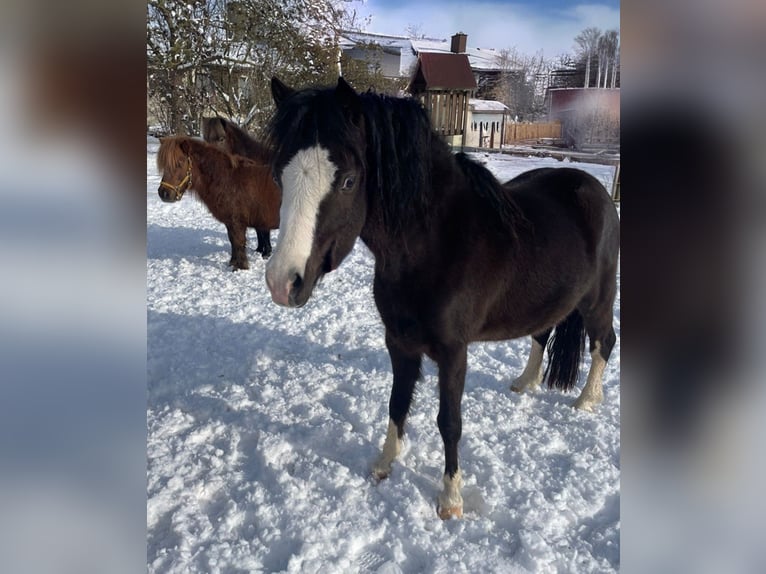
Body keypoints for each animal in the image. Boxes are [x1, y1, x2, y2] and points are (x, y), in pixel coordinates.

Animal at [156, 136, 281, 270]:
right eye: (164, 166)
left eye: (179, 163)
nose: (163, 193)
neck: (228, 180)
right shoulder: (230, 222)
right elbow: (233, 241)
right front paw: (232, 263)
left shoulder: (237, 222)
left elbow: (238, 242)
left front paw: (240, 267)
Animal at [202, 117, 278, 257]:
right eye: (205, 139)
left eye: (221, 139)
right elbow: (259, 231)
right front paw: (259, 250)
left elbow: (264, 231)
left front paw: (266, 253)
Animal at [263, 77, 620, 520]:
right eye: (280, 176)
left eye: (347, 181)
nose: (282, 282)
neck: (436, 246)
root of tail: (595, 190)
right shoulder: (399, 343)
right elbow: (397, 403)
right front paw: (384, 465)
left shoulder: (453, 352)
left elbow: (449, 421)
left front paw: (450, 500)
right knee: (542, 333)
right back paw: (525, 382)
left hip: (597, 301)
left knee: (604, 342)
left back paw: (587, 401)